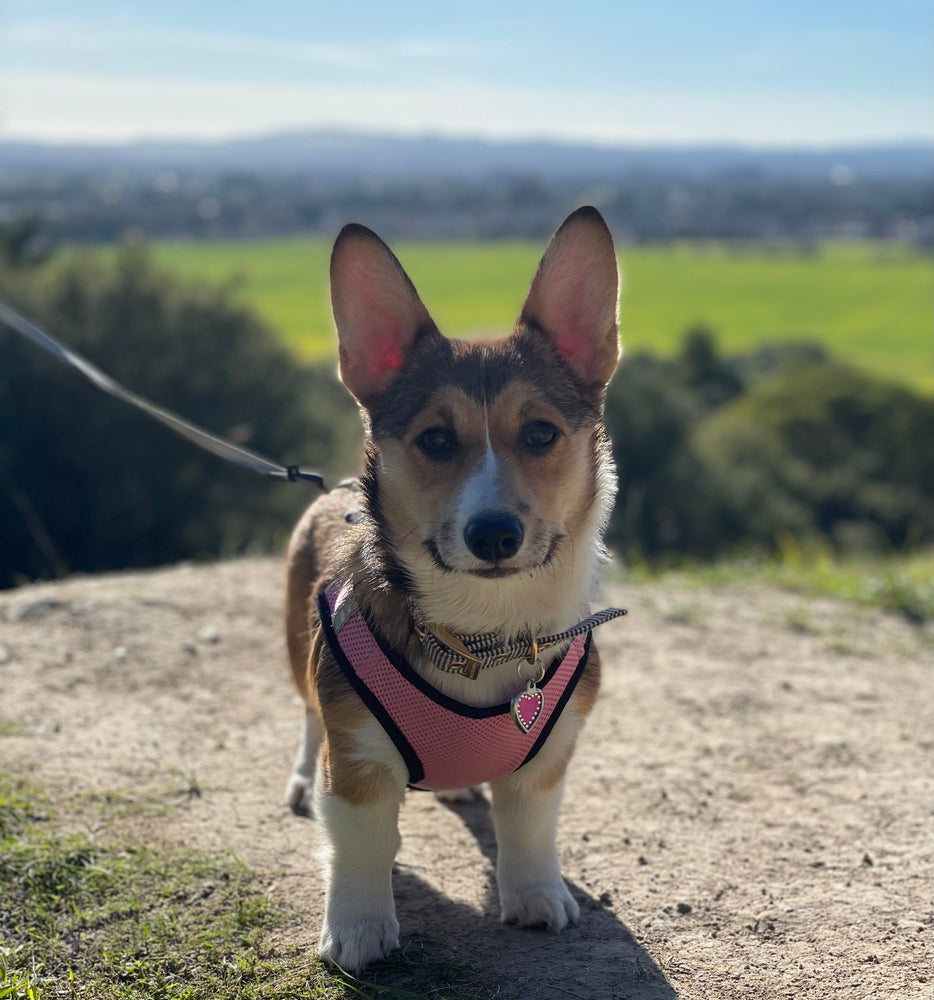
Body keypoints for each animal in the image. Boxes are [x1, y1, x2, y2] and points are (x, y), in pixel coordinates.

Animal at [284, 207, 620, 972]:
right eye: (436, 439)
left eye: (540, 433)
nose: (493, 534)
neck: (481, 632)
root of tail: (330, 490)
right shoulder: (357, 761)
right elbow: (362, 849)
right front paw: (358, 931)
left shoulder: (546, 760)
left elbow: (530, 831)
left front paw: (537, 896)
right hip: (298, 648)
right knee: (308, 713)